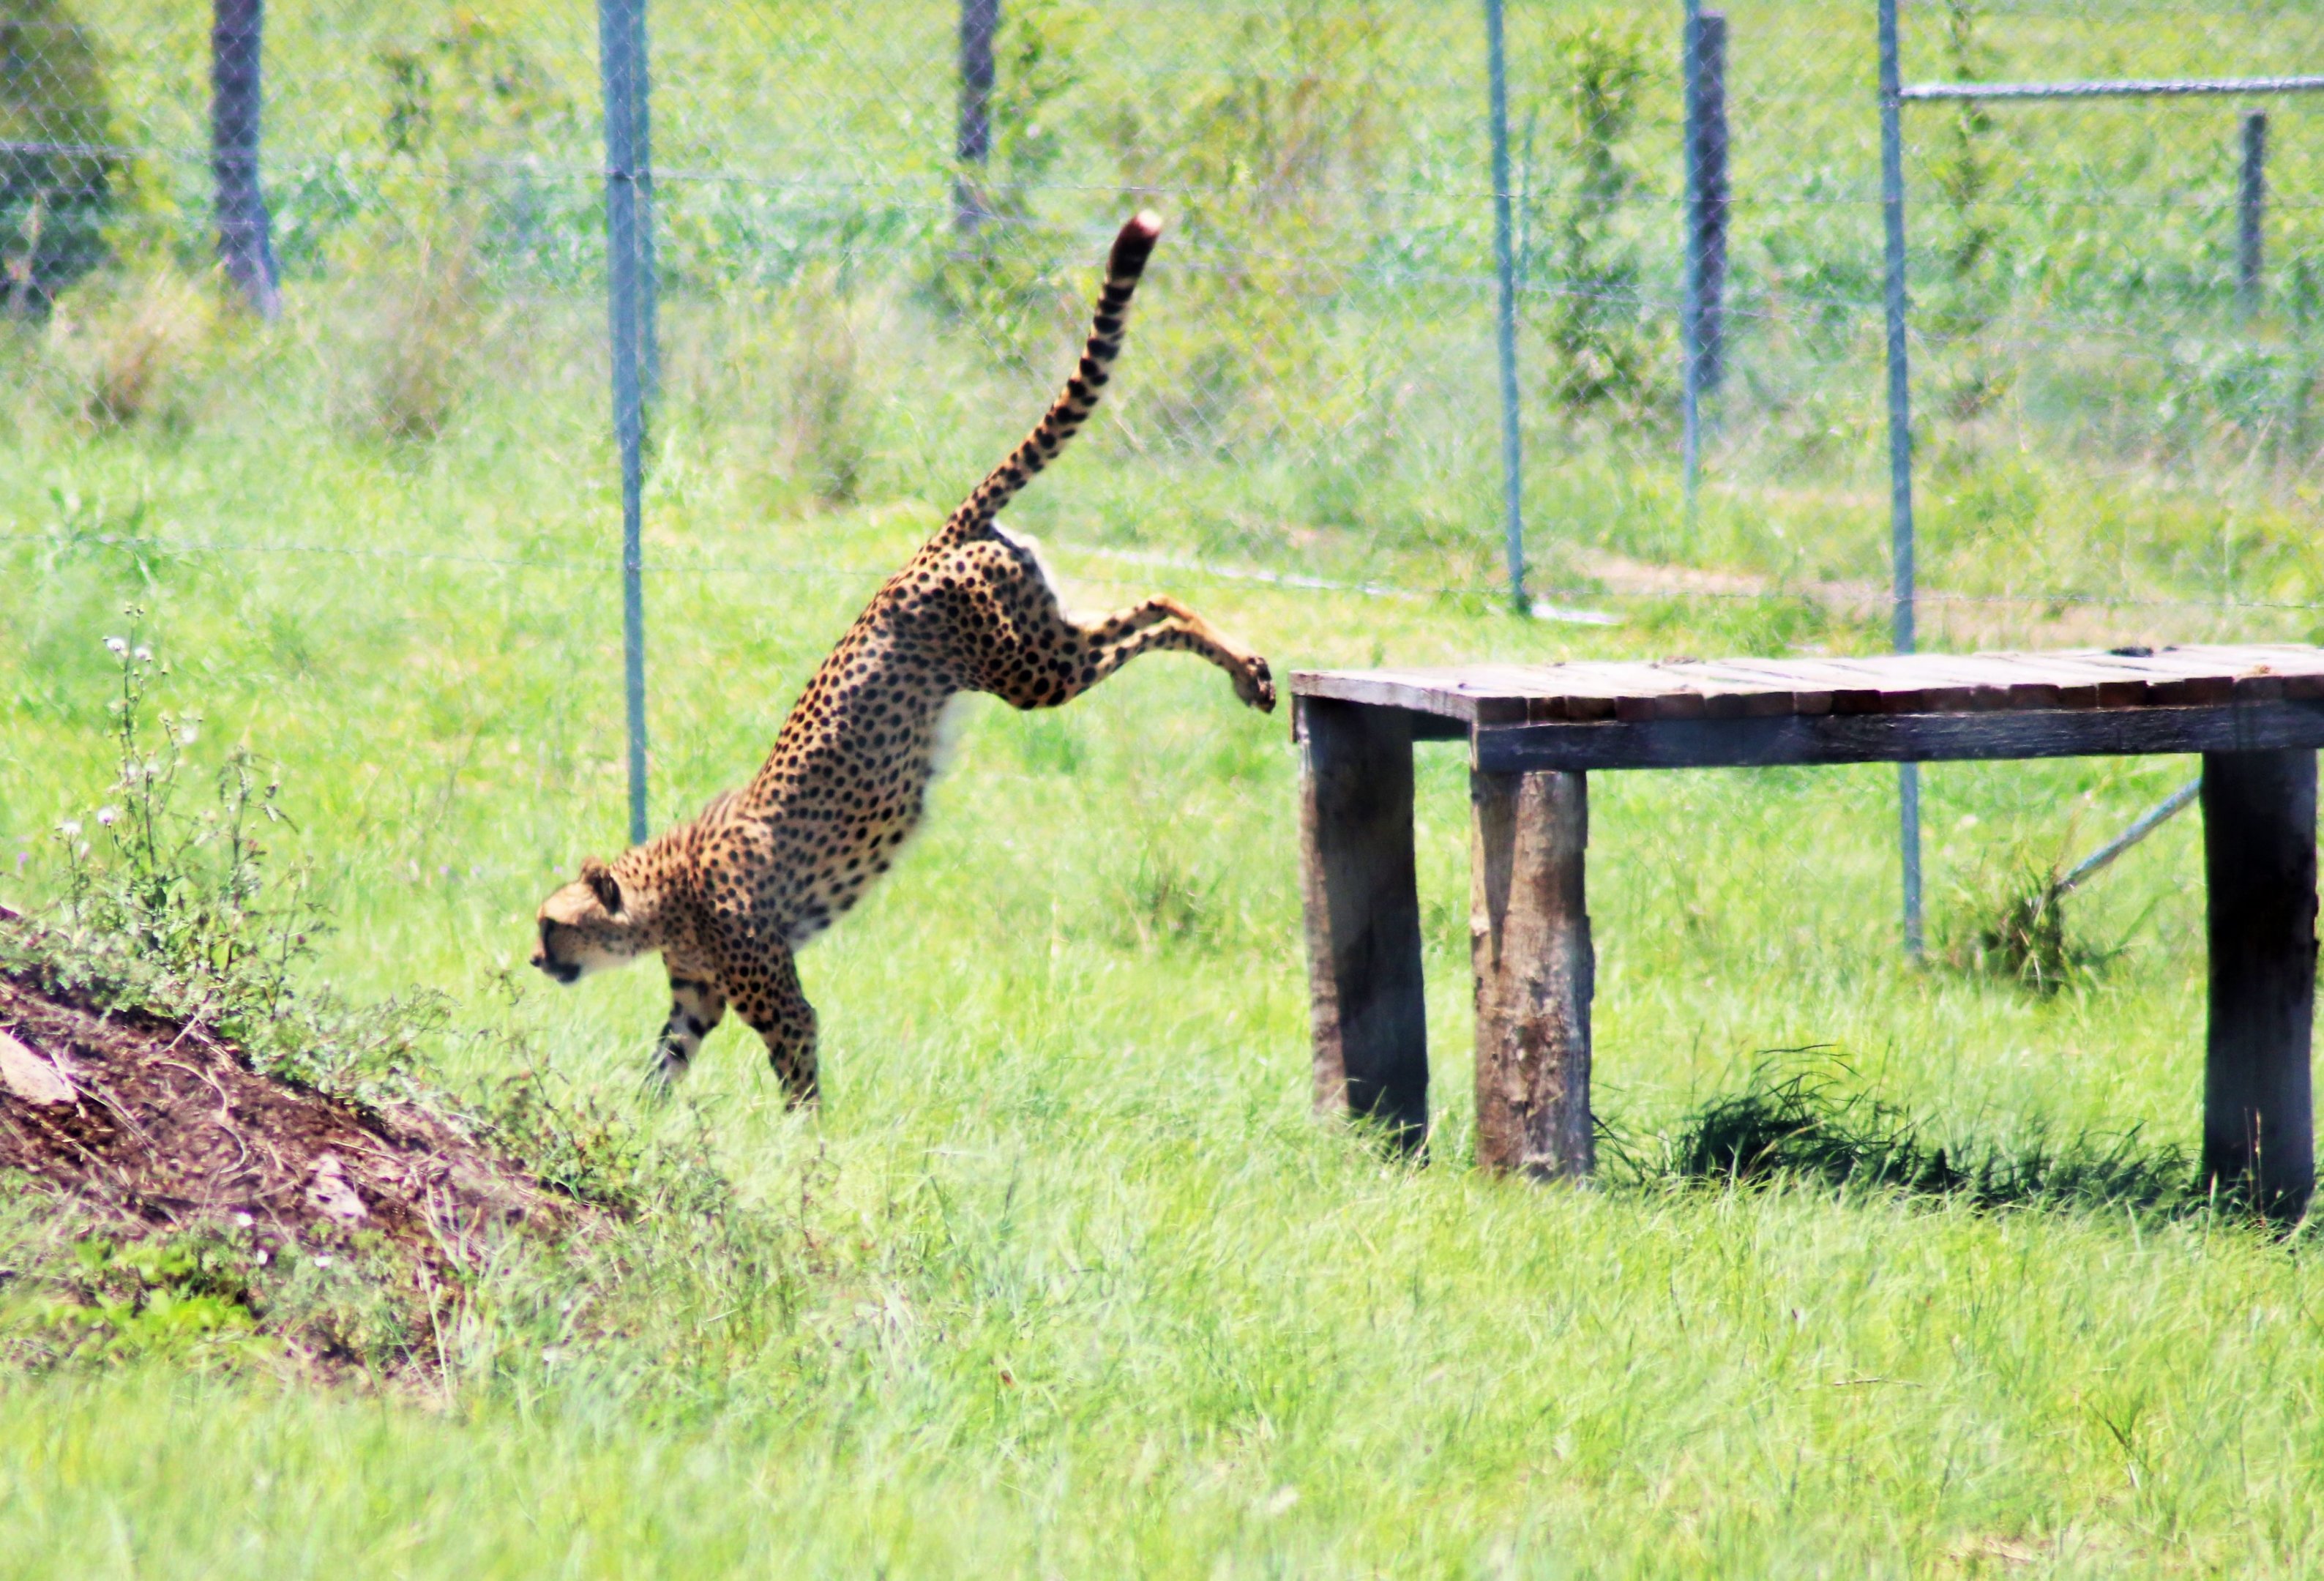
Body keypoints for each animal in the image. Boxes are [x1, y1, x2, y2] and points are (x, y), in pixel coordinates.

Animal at [530, 211, 1275, 1101]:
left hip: (1030, 672)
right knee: (1157, 602)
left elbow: (799, 1083)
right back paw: (1249, 672)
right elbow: (660, 1073)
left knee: (1158, 615)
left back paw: (1252, 675)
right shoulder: (697, 999)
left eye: (551, 923)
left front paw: (808, 1142)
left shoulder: (775, 999)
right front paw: (632, 1122)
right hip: (1040, 640)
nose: (533, 959)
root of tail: (927, 547)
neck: (658, 895)